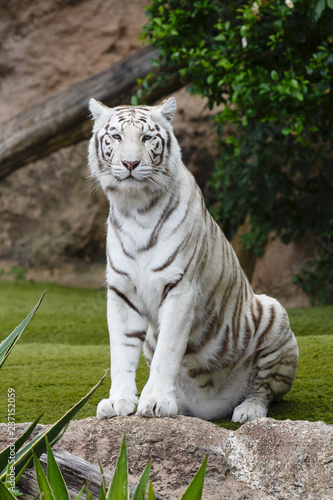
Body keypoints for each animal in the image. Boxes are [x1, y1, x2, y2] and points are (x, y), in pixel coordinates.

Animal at [87, 96, 296, 422]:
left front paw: (156, 401)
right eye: (117, 137)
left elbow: (169, 352)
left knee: (264, 390)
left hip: (274, 315)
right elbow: (121, 351)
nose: (130, 164)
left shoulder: (180, 288)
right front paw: (118, 401)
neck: (135, 208)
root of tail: (210, 409)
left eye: (146, 138)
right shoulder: (122, 292)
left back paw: (247, 411)